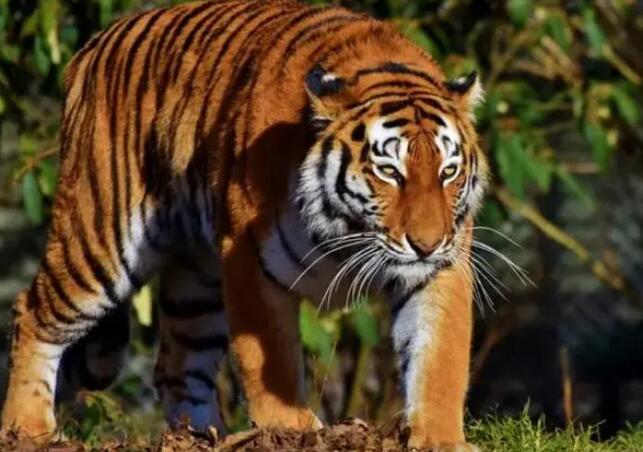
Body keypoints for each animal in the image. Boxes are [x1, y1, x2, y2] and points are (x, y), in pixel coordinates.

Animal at [0, 0, 488, 449]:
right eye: (389, 171)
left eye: (448, 172)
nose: (426, 244)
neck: (350, 233)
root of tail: (93, 45)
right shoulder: (250, 256)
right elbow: (270, 357)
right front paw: (292, 429)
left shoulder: (441, 270)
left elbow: (439, 360)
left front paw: (440, 438)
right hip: (99, 238)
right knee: (31, 311)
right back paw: (29, 427)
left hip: (197, 280)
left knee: (177, 364)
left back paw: (202, 437)